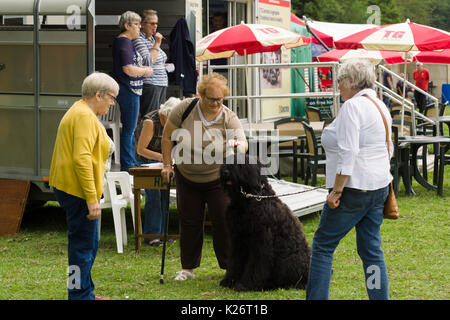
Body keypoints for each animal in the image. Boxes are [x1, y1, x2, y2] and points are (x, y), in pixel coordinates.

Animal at [220, 154, 312, 292]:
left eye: (241, 164)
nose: (225, 172)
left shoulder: (261, 242)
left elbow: (256, 265)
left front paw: (245, 285)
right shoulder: (238, 240)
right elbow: (235, 262)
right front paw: (229, 280)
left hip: (288, 261)